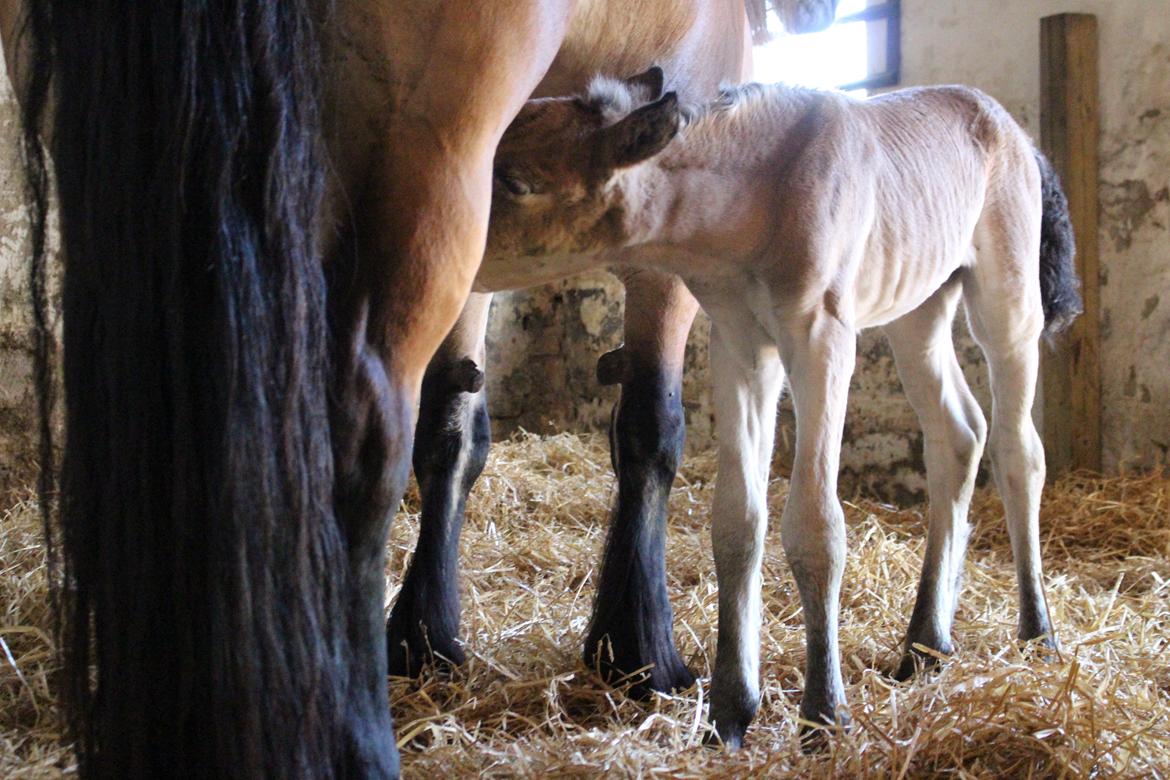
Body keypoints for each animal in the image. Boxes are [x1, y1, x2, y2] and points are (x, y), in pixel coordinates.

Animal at [4, 0, 837, 776]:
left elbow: (452, 432)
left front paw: (423, 634)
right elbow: (650, 432)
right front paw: (639, 649)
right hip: (435, 176)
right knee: (360, 441)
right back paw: (355, 741)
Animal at [482, 76, 1076, 748]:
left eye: (517, 181)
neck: (761, 189)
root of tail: (1021, 137)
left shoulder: (821, 337)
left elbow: (816, 526)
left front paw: (824, 712)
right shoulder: (740, 346)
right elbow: (737, 523)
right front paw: (730, 711)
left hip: (1007, 302)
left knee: (1017, 450)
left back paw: (1038, 634)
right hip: (918, 308)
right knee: (958, 434)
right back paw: (924, 645)